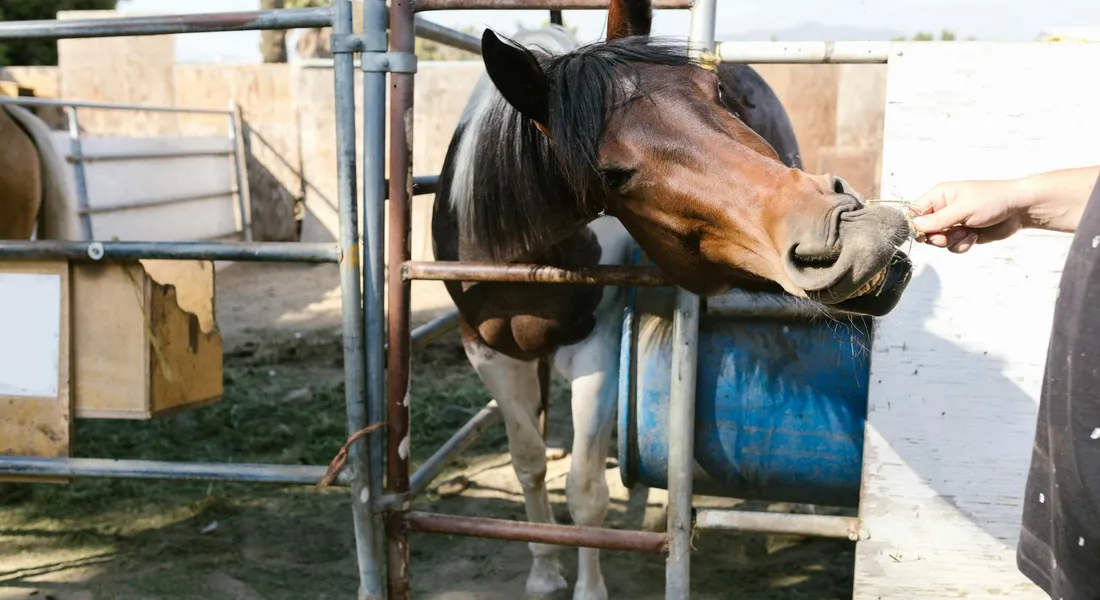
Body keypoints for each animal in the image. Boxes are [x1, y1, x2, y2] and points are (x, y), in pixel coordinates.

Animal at [431, 3, 913, 597]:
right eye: (611, 174)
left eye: (719, 93)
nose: (851, 229)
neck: (520, 251)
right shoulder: (487, 352)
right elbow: (528, 465)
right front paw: (544, 569)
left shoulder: (598, 349)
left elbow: (585, 489)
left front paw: (587, 586)